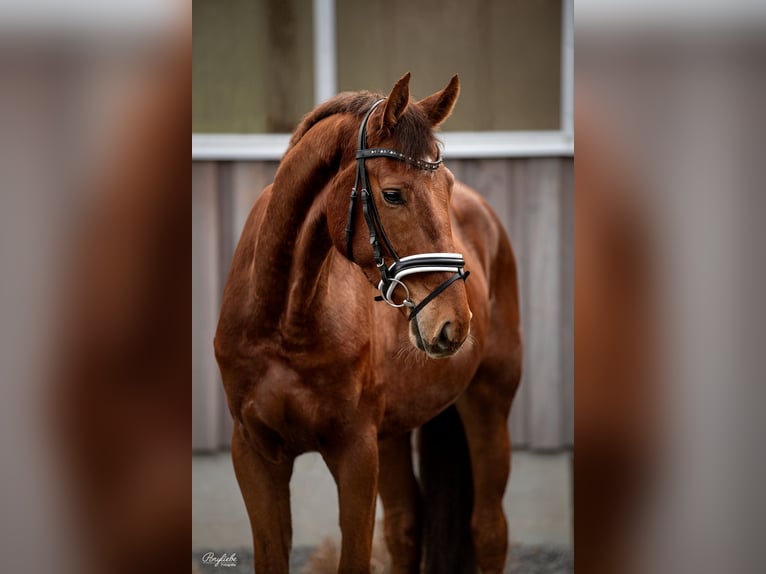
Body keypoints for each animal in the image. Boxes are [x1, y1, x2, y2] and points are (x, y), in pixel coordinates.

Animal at [216, 73, 520, 574]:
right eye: (393, 194)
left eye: (448, 186)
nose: (454, 324)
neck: (284, 320)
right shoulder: (255, 454)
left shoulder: (355, 454)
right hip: (392, 431)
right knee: (403, 527)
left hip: (489, 400)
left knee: (490, 529)